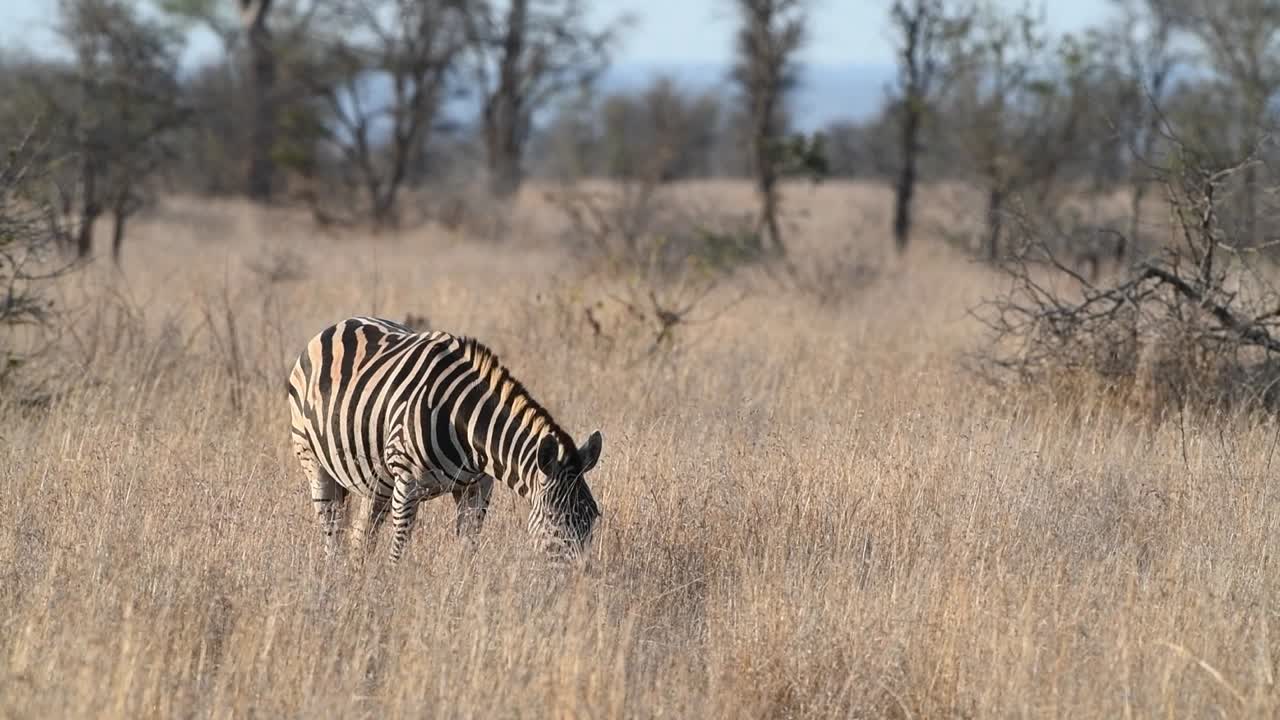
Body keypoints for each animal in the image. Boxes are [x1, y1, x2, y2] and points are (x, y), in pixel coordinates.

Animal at [287, 316, 603, 564]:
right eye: (556, 521)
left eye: (592, 517)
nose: (580, 578)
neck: (464, 424)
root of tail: (338, 324)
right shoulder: (407, 485)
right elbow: (398, 550)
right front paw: (388, 590)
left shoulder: (478, 487)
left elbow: (468, 548)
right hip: (315, 464)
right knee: (332, 537)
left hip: (376, 481)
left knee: (360, 539)